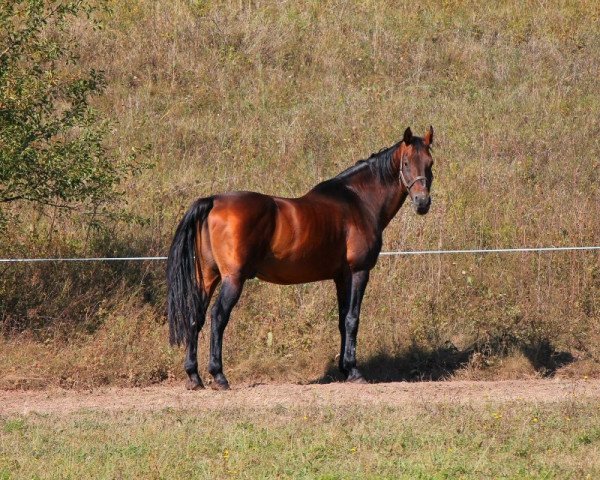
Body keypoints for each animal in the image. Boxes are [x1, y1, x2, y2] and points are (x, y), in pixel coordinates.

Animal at [166, 124, 434, 390]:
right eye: (407, 163)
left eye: (429, 163)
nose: (422, 202)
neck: (358, 200)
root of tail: (213, 201)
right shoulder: (359, 272)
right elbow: (353, 319)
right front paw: (354, 371)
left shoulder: (341, 277)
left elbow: (342, 320)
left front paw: (344, 369)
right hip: (233, 279)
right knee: (218, 317)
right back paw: (219, 375)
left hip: (207, 277)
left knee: (195, 316)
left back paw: (194, 377)